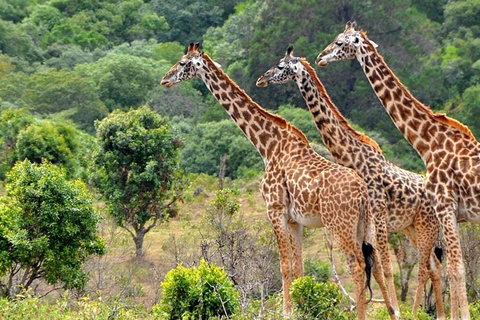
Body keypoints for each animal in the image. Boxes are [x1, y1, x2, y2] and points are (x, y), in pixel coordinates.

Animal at [161, 43, 386, 320]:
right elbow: (299, 267)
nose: (165, 79)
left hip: (339, 225)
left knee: (357, 265)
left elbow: (284, 266)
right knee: (376, 265)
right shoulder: (295, 221)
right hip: (365, 225)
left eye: (183, 63)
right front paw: (302, 309)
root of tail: (362, 192)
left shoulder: (275, 210)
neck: (267, 145)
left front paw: (287, 311)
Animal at [256, 46, 444, 318]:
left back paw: (416, 311)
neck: (351, 156)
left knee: (423, 268)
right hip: (413, 228)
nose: (262, 79)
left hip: (423, 226)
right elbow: (378, 268)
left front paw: (395, 311)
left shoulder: (376, 217)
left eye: (281, 66)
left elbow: (384, 268)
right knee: (435, 266)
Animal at [316, 21, 480, 318]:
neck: (428, 143)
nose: (320, 57)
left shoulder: (445, 206)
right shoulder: (452, 213)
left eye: (339, 42)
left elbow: (456, 269)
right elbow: (453, 268)